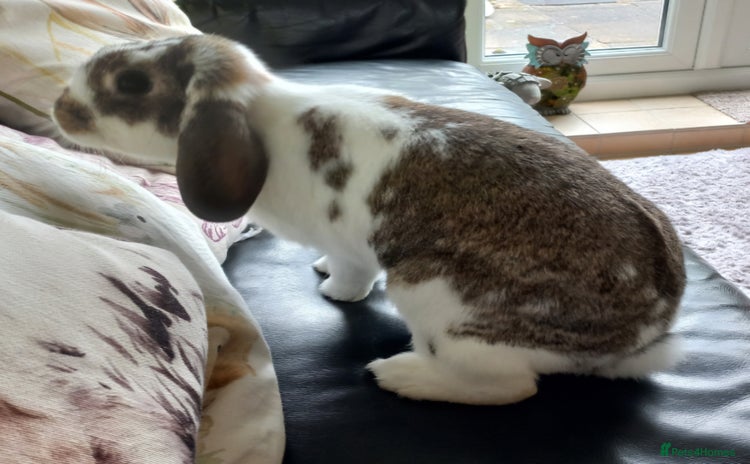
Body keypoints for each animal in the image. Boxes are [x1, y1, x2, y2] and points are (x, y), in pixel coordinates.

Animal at [53, 34, 686, 405]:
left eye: (132, 83)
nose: (61, 107)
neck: (265, 124)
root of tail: (642, 335)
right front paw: (320, 272)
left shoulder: (354, 246)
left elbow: (354, 274)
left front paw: (334, 291)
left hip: (435, 297)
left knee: (511, 386)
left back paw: (401, 375)